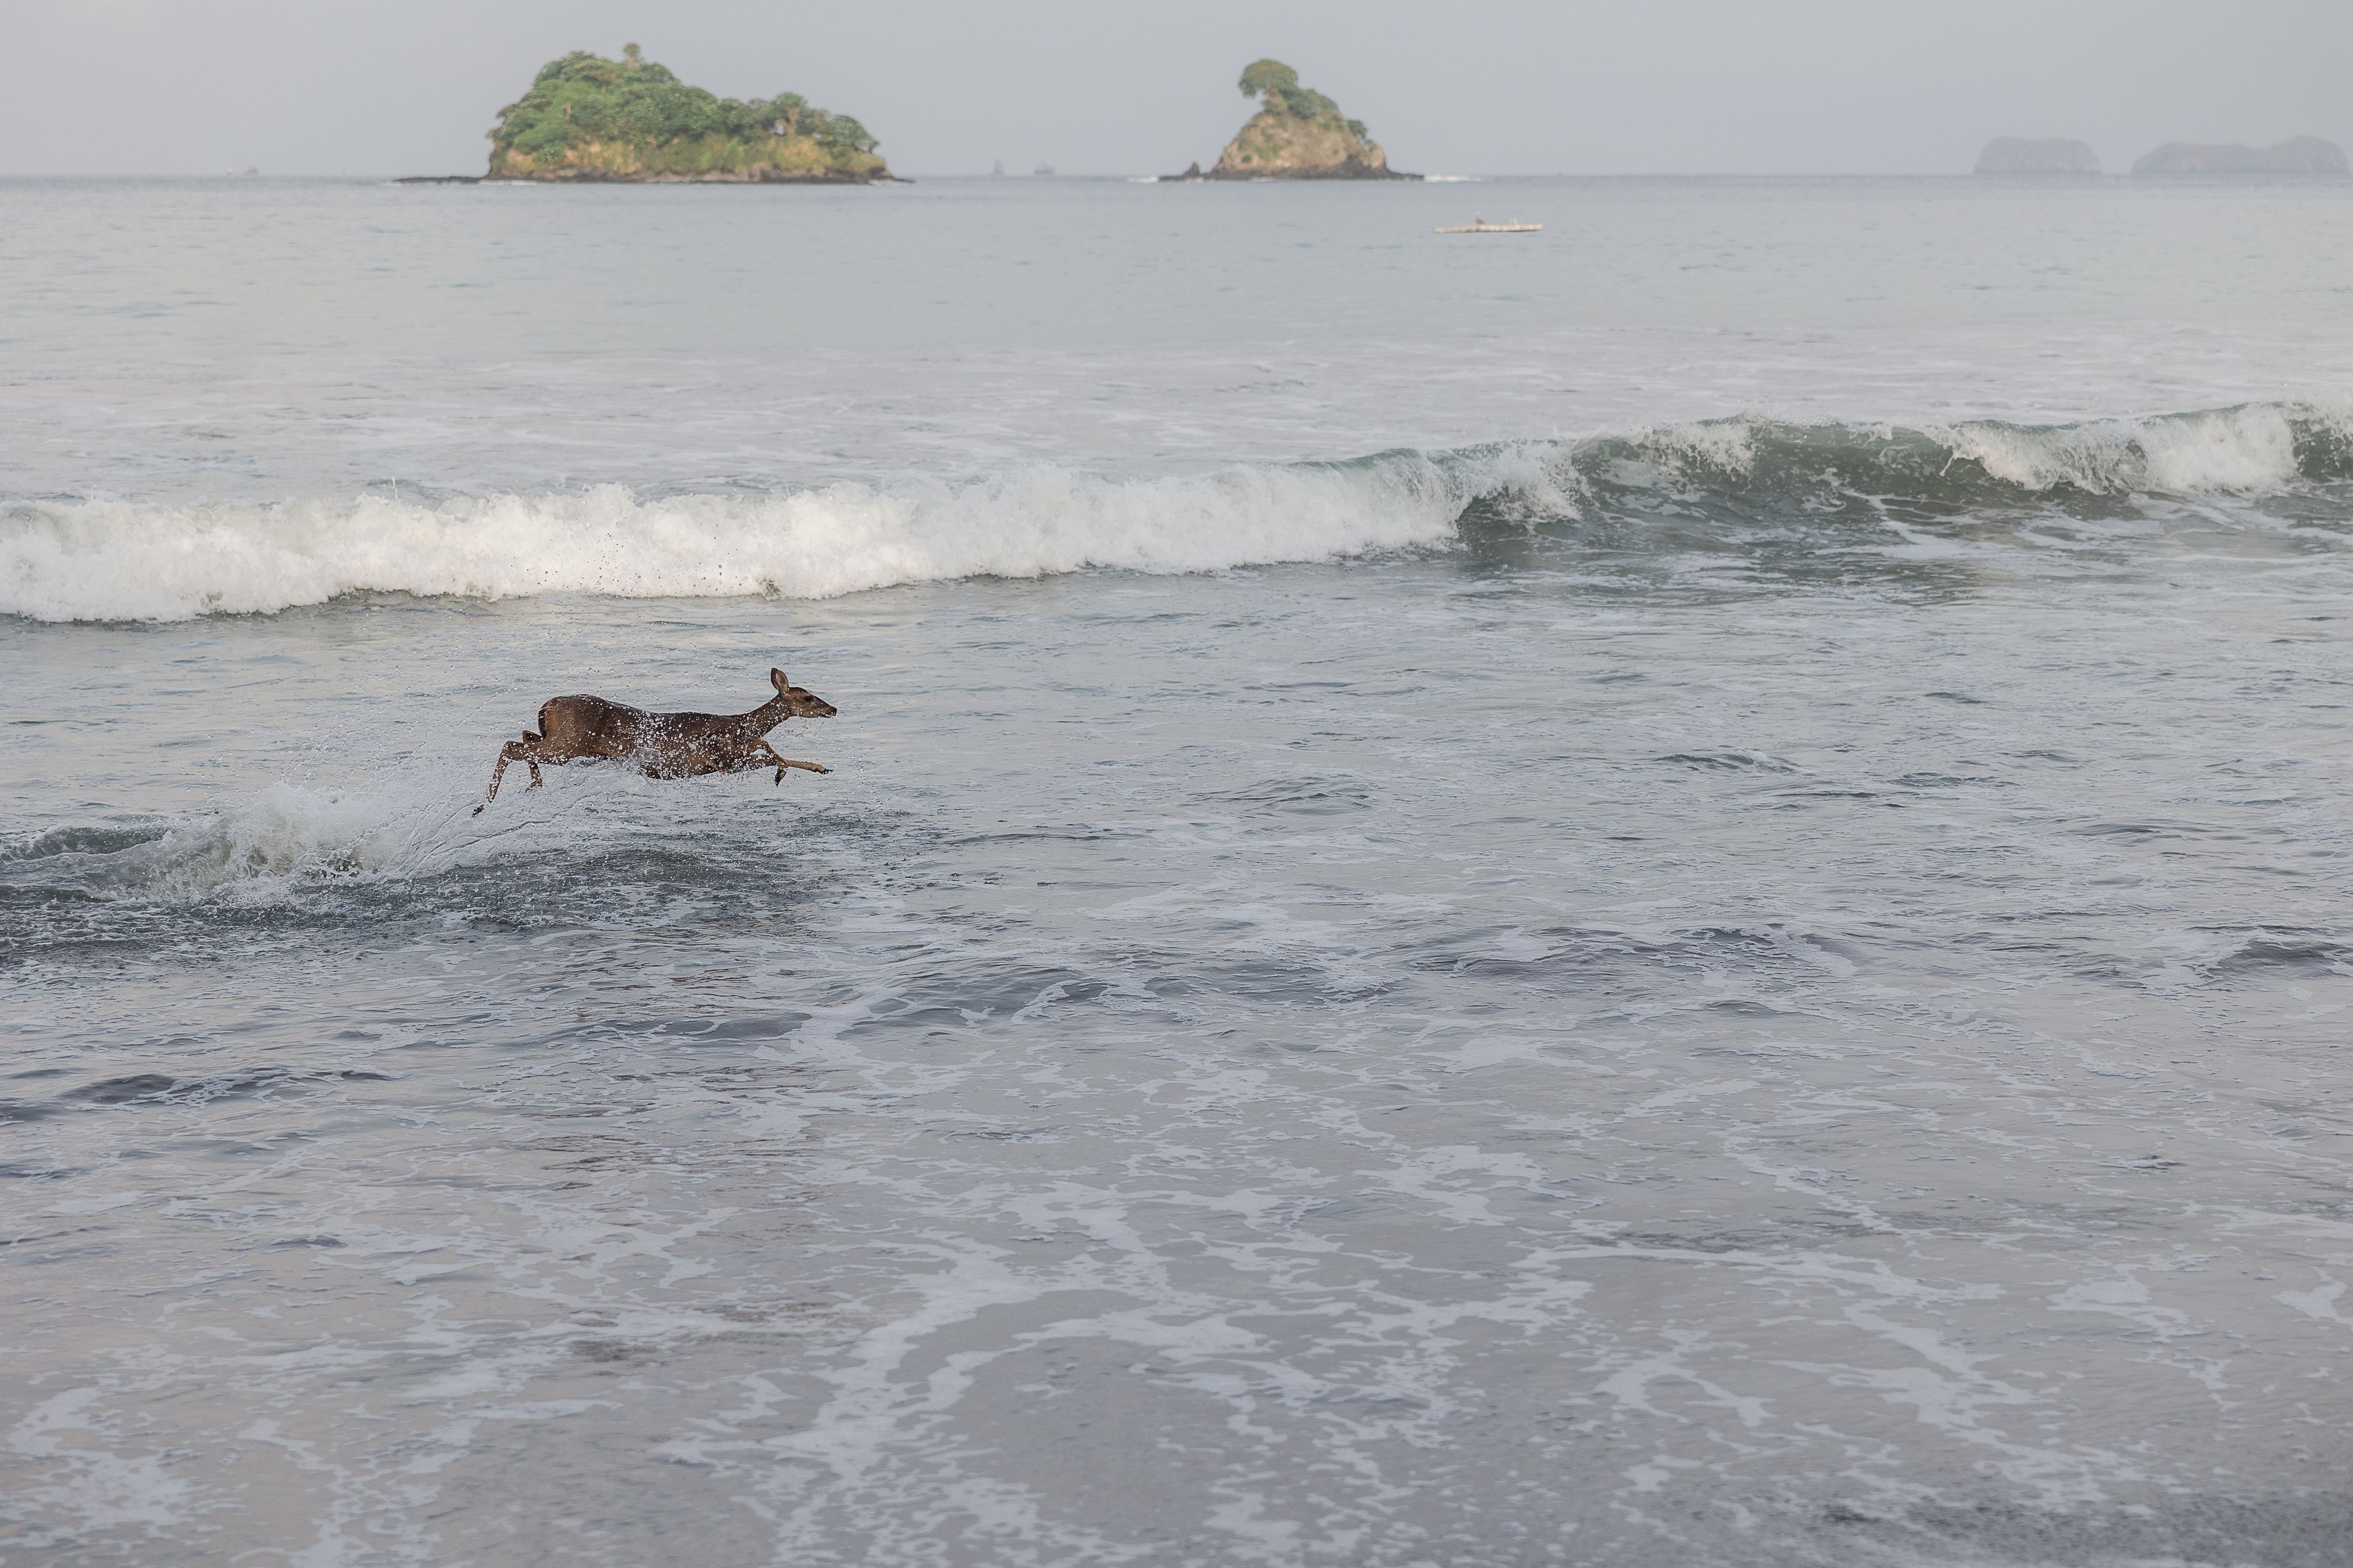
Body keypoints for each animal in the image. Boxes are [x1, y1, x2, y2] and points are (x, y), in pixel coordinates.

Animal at [476, 668, 837, 813]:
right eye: (808, 697)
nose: (833, 709)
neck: (740, 725)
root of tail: (546, 706)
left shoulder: (719, 762)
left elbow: (770, 750)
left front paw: (820, 768)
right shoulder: (720, 758)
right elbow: (772, 752)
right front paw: (802, 770)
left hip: (558, 739)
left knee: (523, 738)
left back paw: (529, 787)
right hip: (567, 744)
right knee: (512, 746)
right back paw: (486, 802)